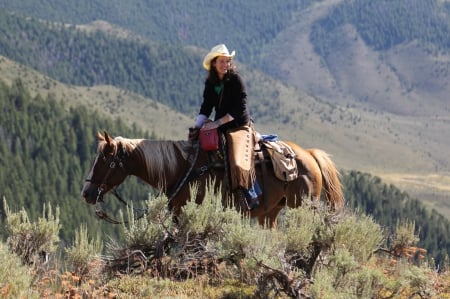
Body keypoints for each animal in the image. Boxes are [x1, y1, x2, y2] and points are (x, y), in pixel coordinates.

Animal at [81, 132, 342, 227]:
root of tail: (309, 154)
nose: (86, 193)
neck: (182, 168)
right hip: (271, 212)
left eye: (105, 161)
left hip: (305, 207)